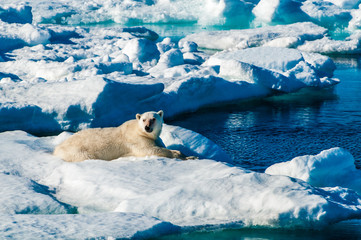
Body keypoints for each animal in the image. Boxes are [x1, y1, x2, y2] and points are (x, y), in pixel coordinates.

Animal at [53, 110, 195, 162]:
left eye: (153, 119)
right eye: (144, 119)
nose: (147, 127)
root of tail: (56, 149)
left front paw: (191, 156)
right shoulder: (136, 140)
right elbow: (149, 149)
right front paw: (181, 154)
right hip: (76, 150)